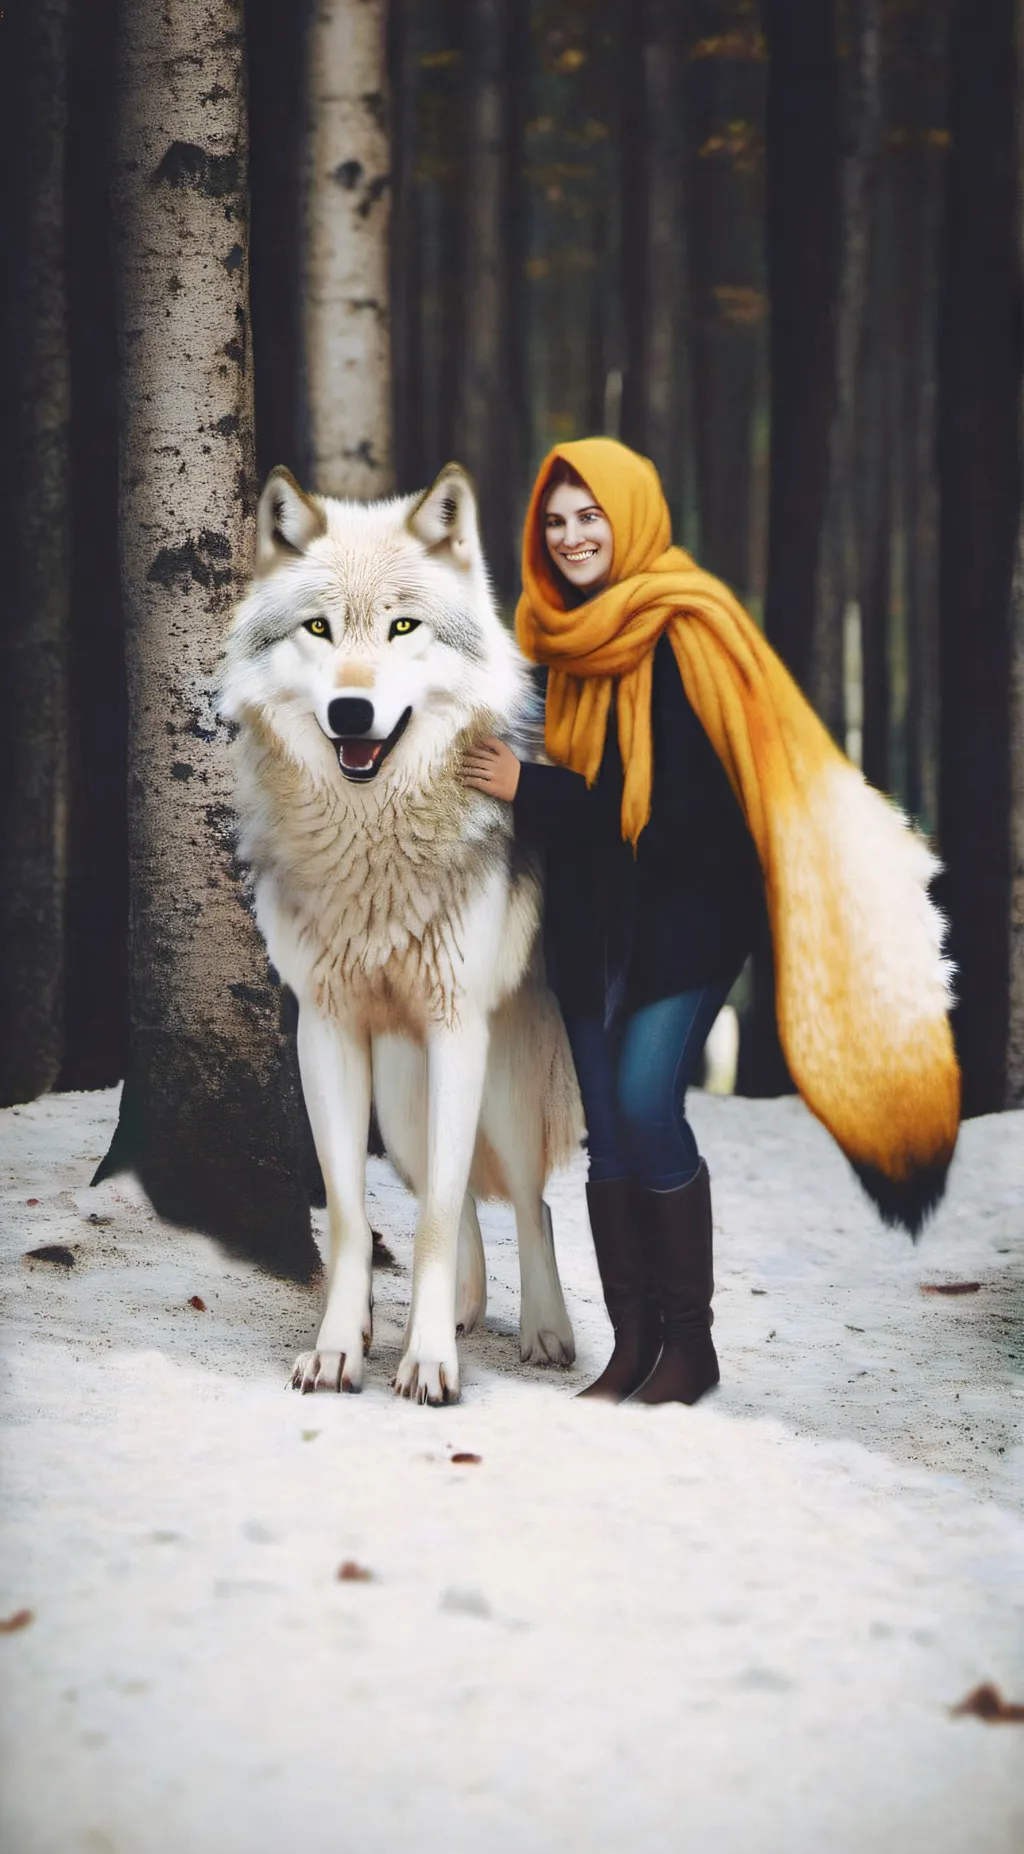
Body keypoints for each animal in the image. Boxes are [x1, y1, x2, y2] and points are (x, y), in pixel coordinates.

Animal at [221, 463, 582, 1404]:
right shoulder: (326, 1030)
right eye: (318, 627)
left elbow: (439, 1221)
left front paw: (427, 1365)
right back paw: (459, 1310)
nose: (353, 712)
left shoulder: (458, 1029)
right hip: (404, 1100)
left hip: (500, 1079)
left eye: (403, 626)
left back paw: (545, 1331)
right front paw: (339, 1349)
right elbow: (357, 1216)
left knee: (528, 1199)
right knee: (456, 1197)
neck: (372, 853)